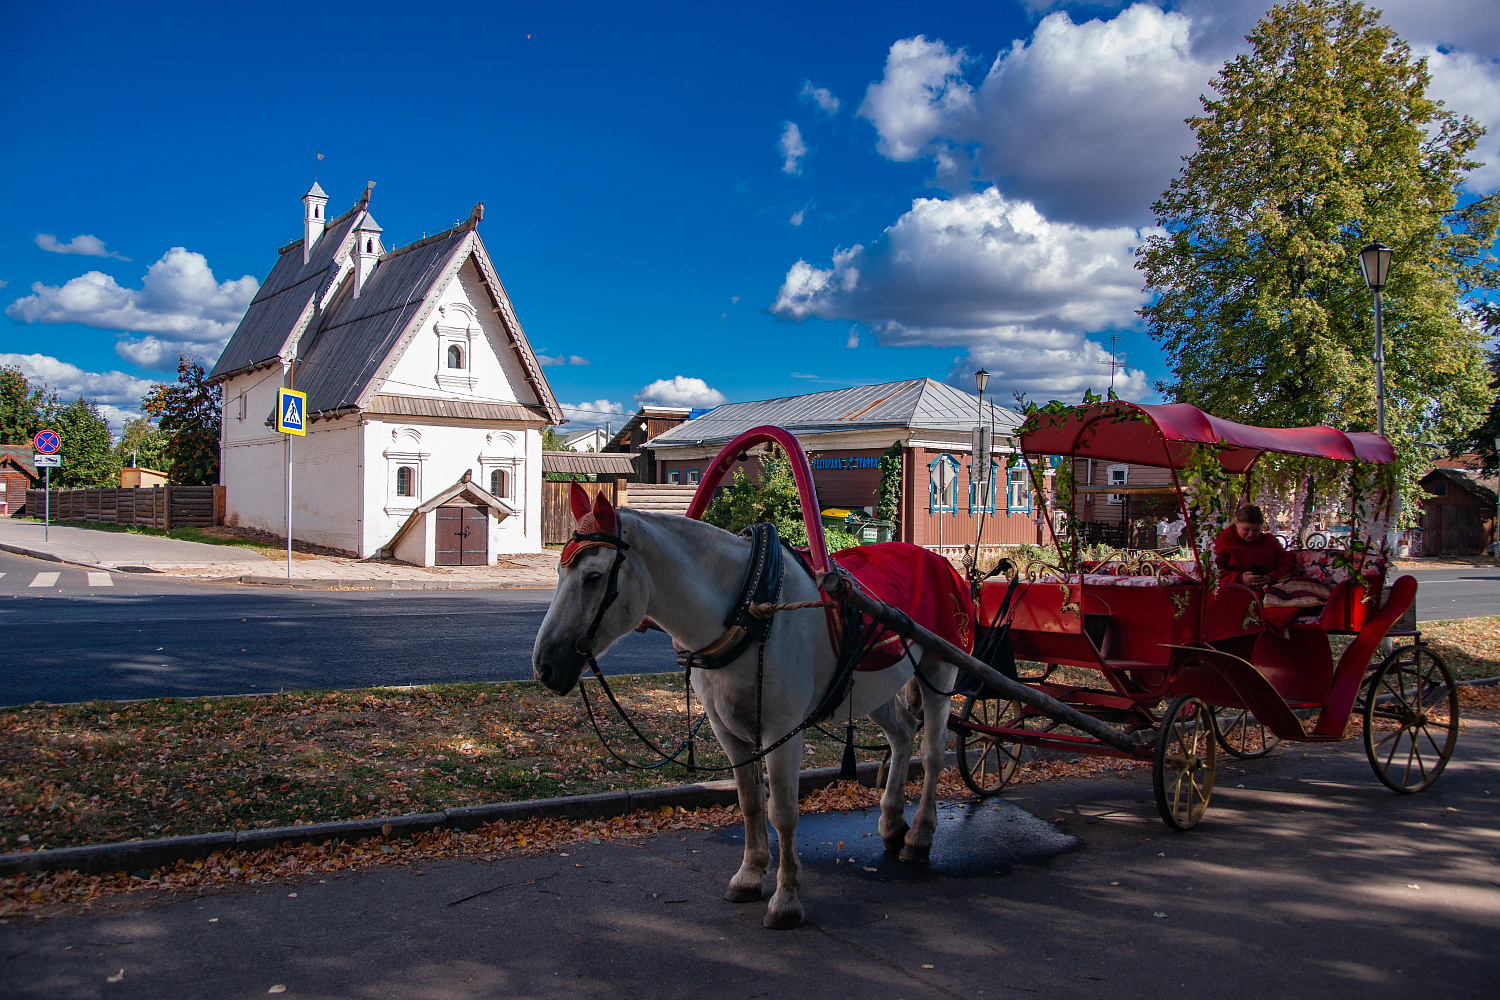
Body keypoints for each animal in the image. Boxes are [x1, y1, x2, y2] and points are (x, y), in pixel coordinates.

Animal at [534, 491, 954, 929]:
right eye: (559, 573)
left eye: (593, 576)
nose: (545, 665)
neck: (749, 608)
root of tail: (933, 557)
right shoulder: (730, 732)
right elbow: (751, 802)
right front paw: (750, 875)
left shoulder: (782, 731)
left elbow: (782, 811)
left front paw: (786, 899)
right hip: (875, 689)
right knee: (903, 732)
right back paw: (891, 823)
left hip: (940, 669)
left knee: (933, 752)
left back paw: (920, 835)